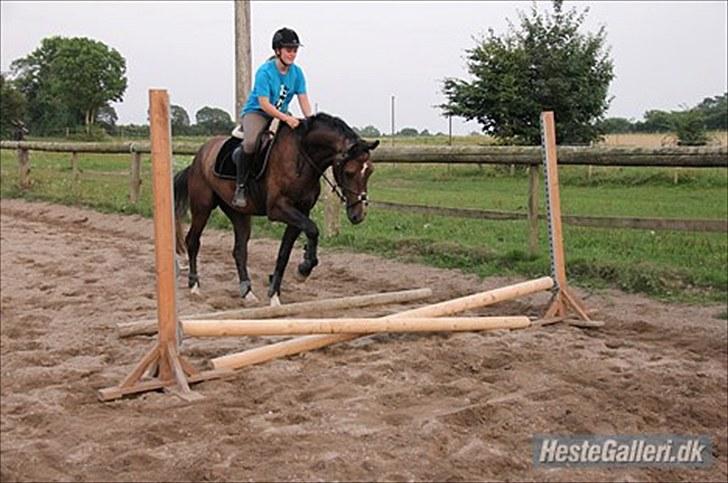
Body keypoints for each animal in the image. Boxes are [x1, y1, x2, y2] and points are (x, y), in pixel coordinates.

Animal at [173, 113, 378, 306]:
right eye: (349, 172)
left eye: (370, 171)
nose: (358, 215)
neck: (301, 157)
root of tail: (199, 156)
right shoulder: (278, 209)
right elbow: (312, 229)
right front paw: (304, 269)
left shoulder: (300, 212)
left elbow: (285, 252)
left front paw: (275, 294)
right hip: (202, 206)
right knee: (193, 241)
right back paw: (194, 286)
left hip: (238, 213)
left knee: (239, 250)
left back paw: (247, 293)